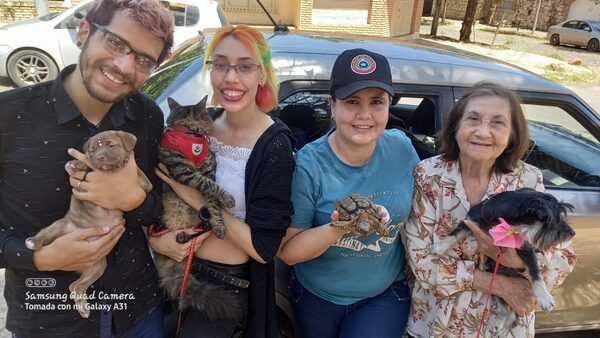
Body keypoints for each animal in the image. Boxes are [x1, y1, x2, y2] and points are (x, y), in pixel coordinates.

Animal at [25, 131, 152, 318]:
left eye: (111, 145)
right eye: (91, 151)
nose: (100, 157)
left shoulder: (145, 184)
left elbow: (141, 176)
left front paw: (123, 161)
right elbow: (89, 167)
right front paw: (76, 163)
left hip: (98, 266)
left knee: (75, 286)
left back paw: (83, 308)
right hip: (60, 226)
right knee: (44, 234)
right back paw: (33, 241)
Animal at [432, 187, 572, 328]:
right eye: (554, 222)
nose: (572, 233)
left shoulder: (526, 248)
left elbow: (535, 273)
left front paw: (544, 298)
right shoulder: (470, 222)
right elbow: (453, 234)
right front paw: (438, 248)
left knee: (512, 312)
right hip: (497, 285)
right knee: (507, 309)